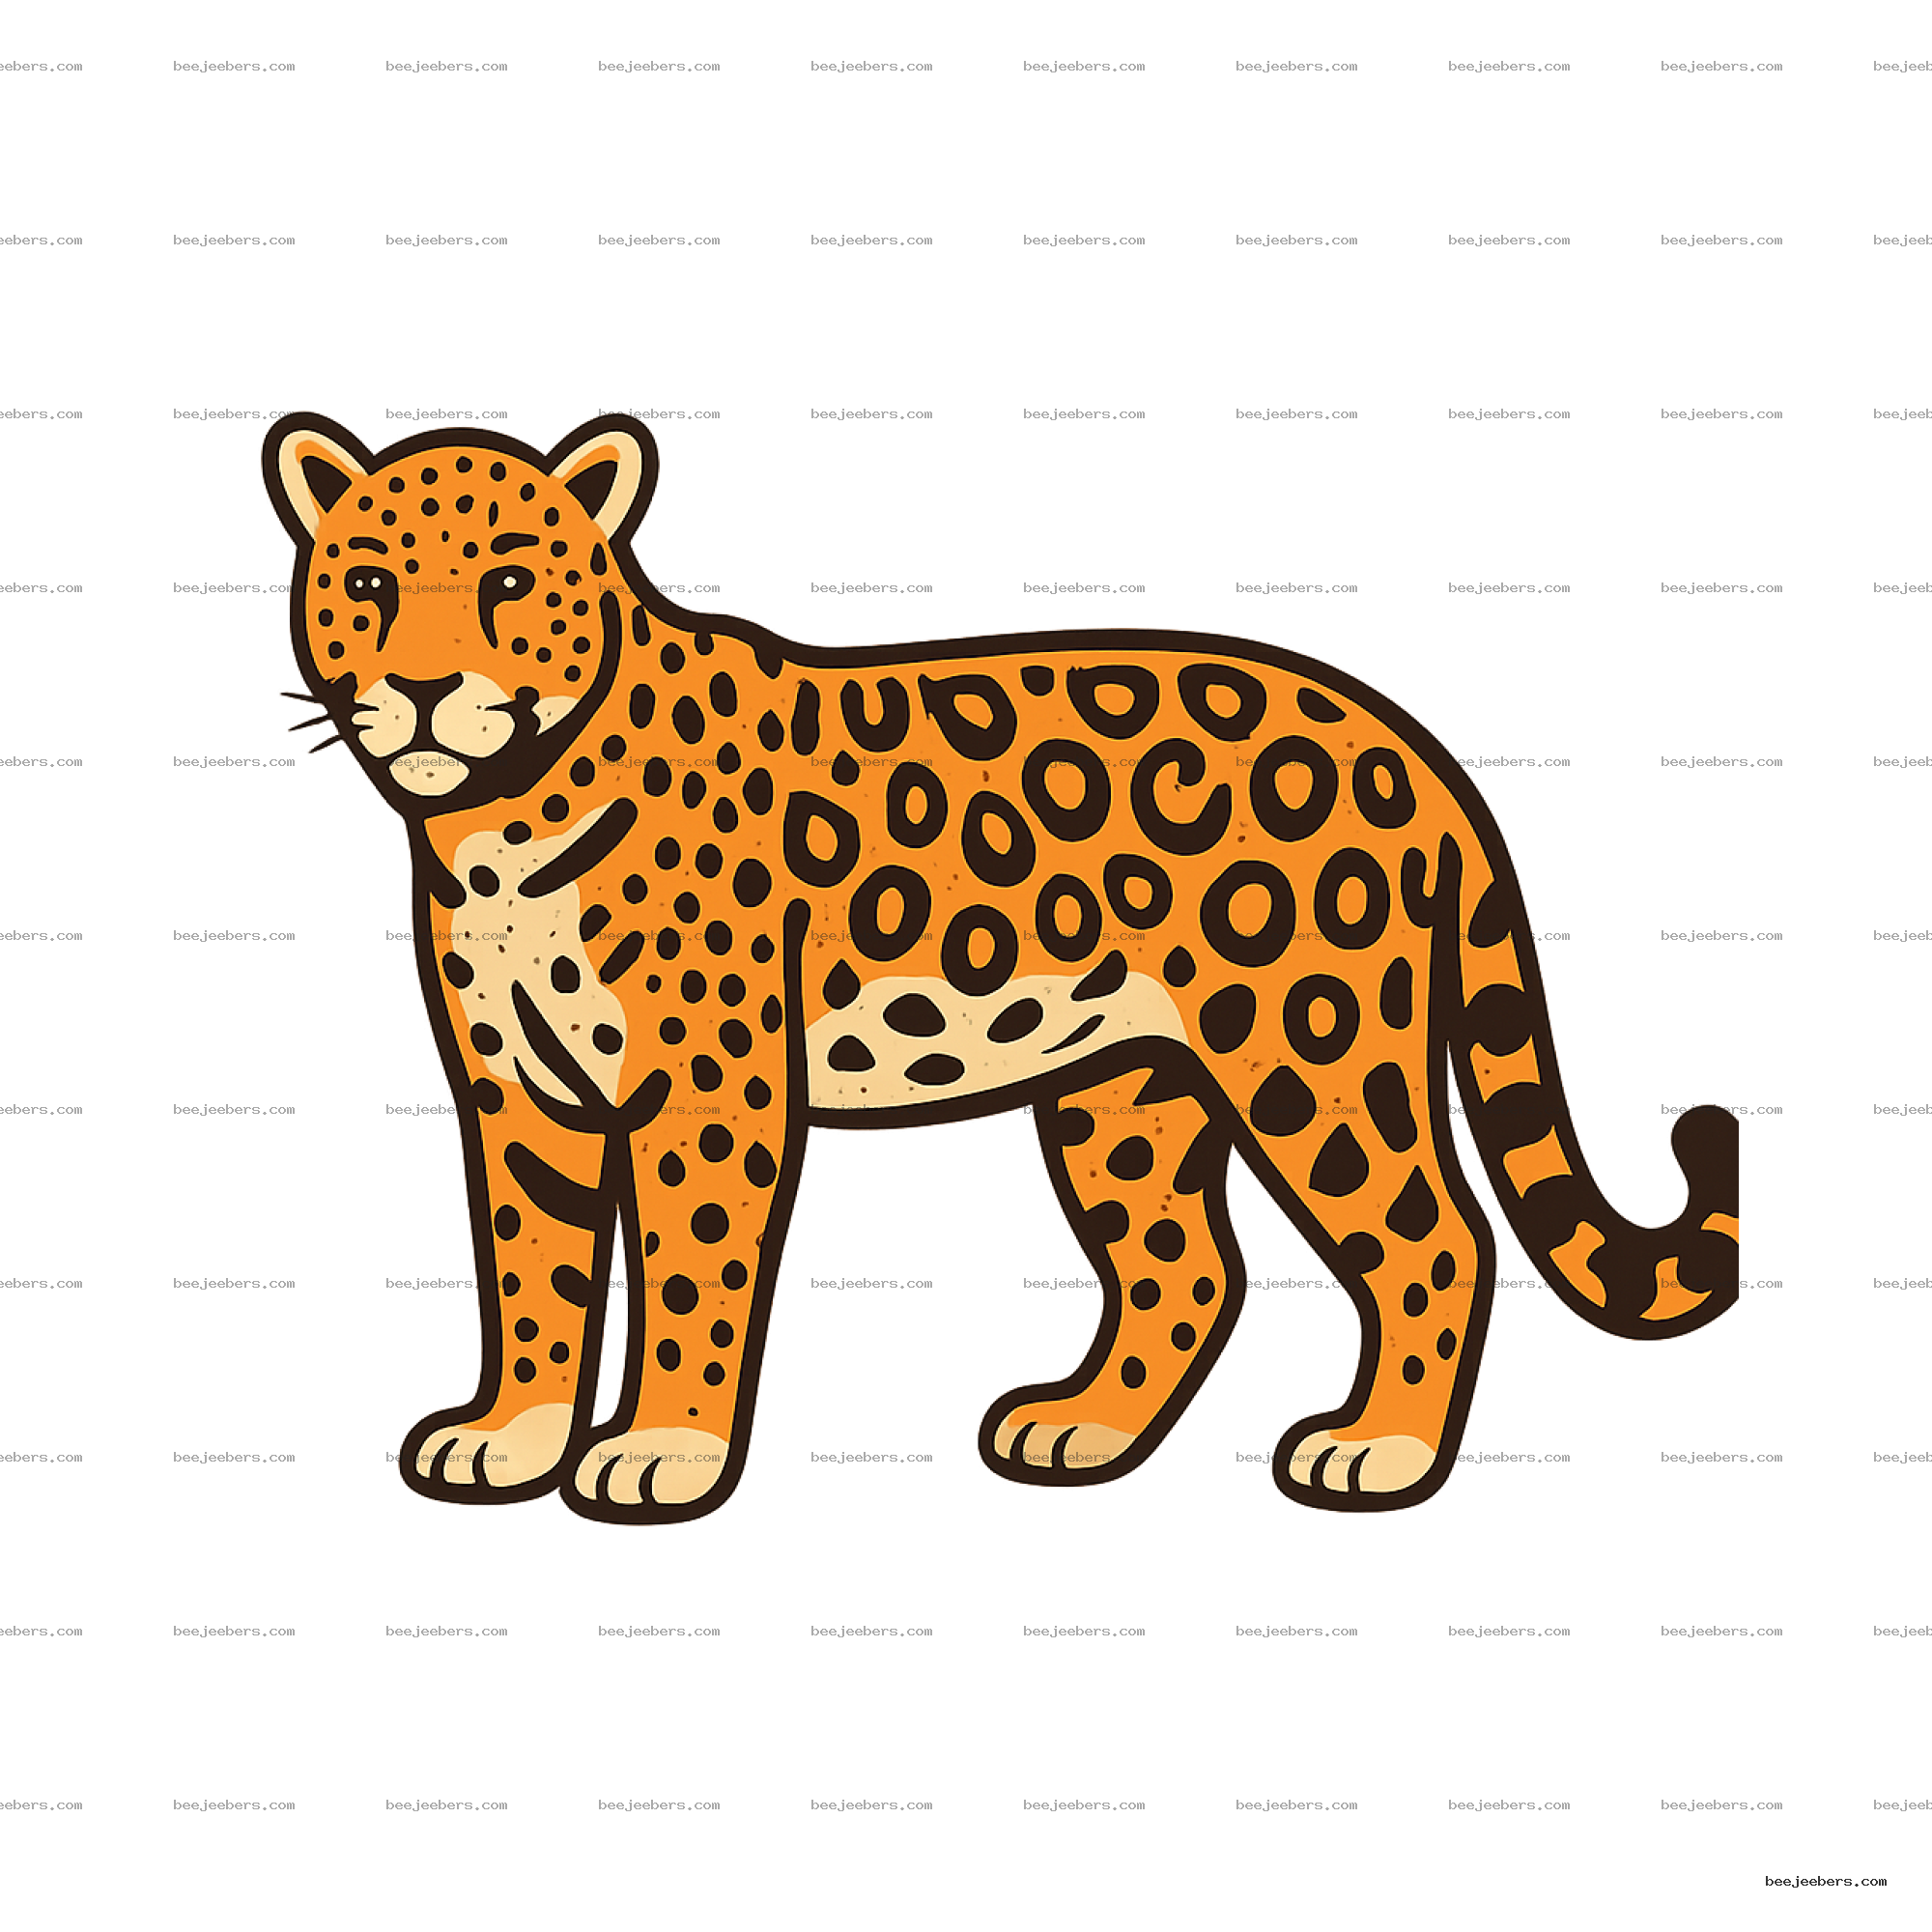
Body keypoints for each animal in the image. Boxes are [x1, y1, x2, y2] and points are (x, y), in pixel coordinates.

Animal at [261, 410, 1740, 1525]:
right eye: (369, 584)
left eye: (511, 582)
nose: (429, 693)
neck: (497, 822)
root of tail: (1399, 742)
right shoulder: (518, 1092)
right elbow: (534, 1269)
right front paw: (511, 1433)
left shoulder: (709, 1092)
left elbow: (689, 1270)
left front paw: (661, 1448)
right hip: (1122, 1088)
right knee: (1188, 1269)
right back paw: (1082, 1429)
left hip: (1308, 1045)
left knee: (1432, 1236)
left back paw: (1379, 1449)